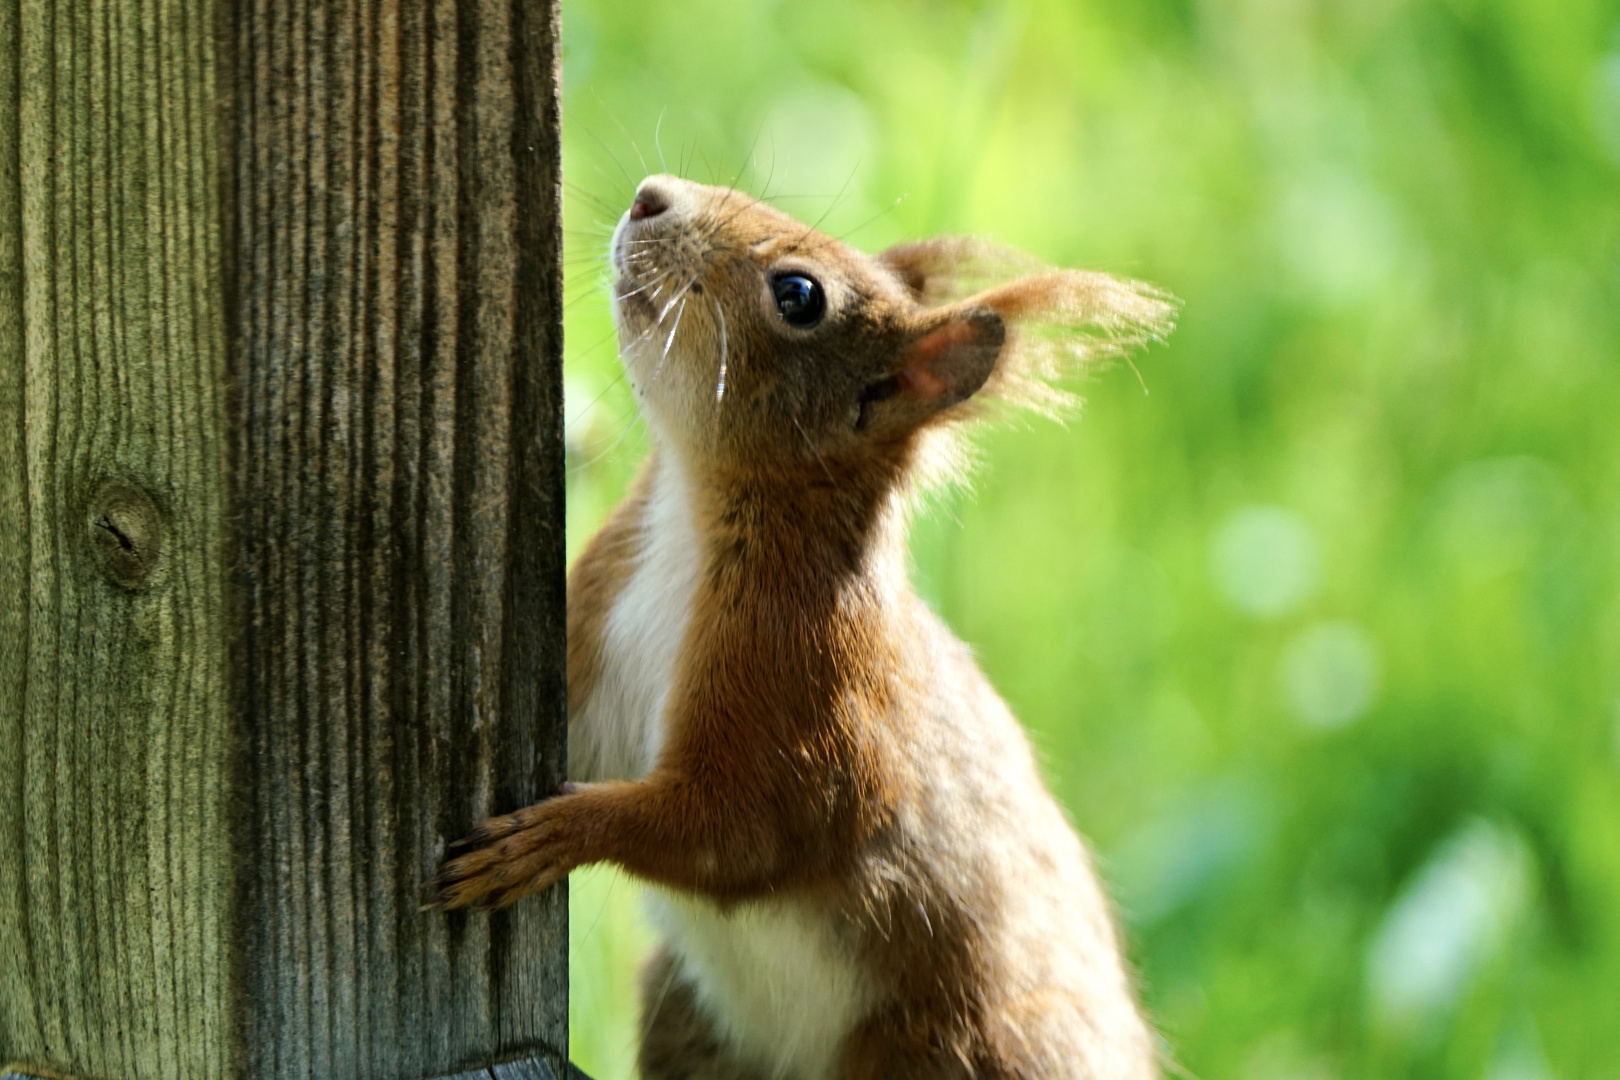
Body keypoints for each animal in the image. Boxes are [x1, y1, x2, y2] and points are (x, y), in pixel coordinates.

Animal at [430, 173, 1179, 1075]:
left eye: (798, 296)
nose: (651, 196)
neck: (693, 517)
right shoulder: (602, 628)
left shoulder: (812, 694)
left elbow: (734, 831)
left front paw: (552, 838)